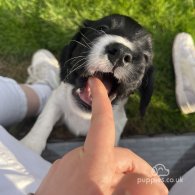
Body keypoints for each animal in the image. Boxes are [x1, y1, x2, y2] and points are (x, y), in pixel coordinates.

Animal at [21, 14, 153, 154]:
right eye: (101, 28)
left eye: (145, 56)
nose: (121, 53)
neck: (82, 115)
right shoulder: (57, 97)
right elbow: (45, 118)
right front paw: (30, 145)